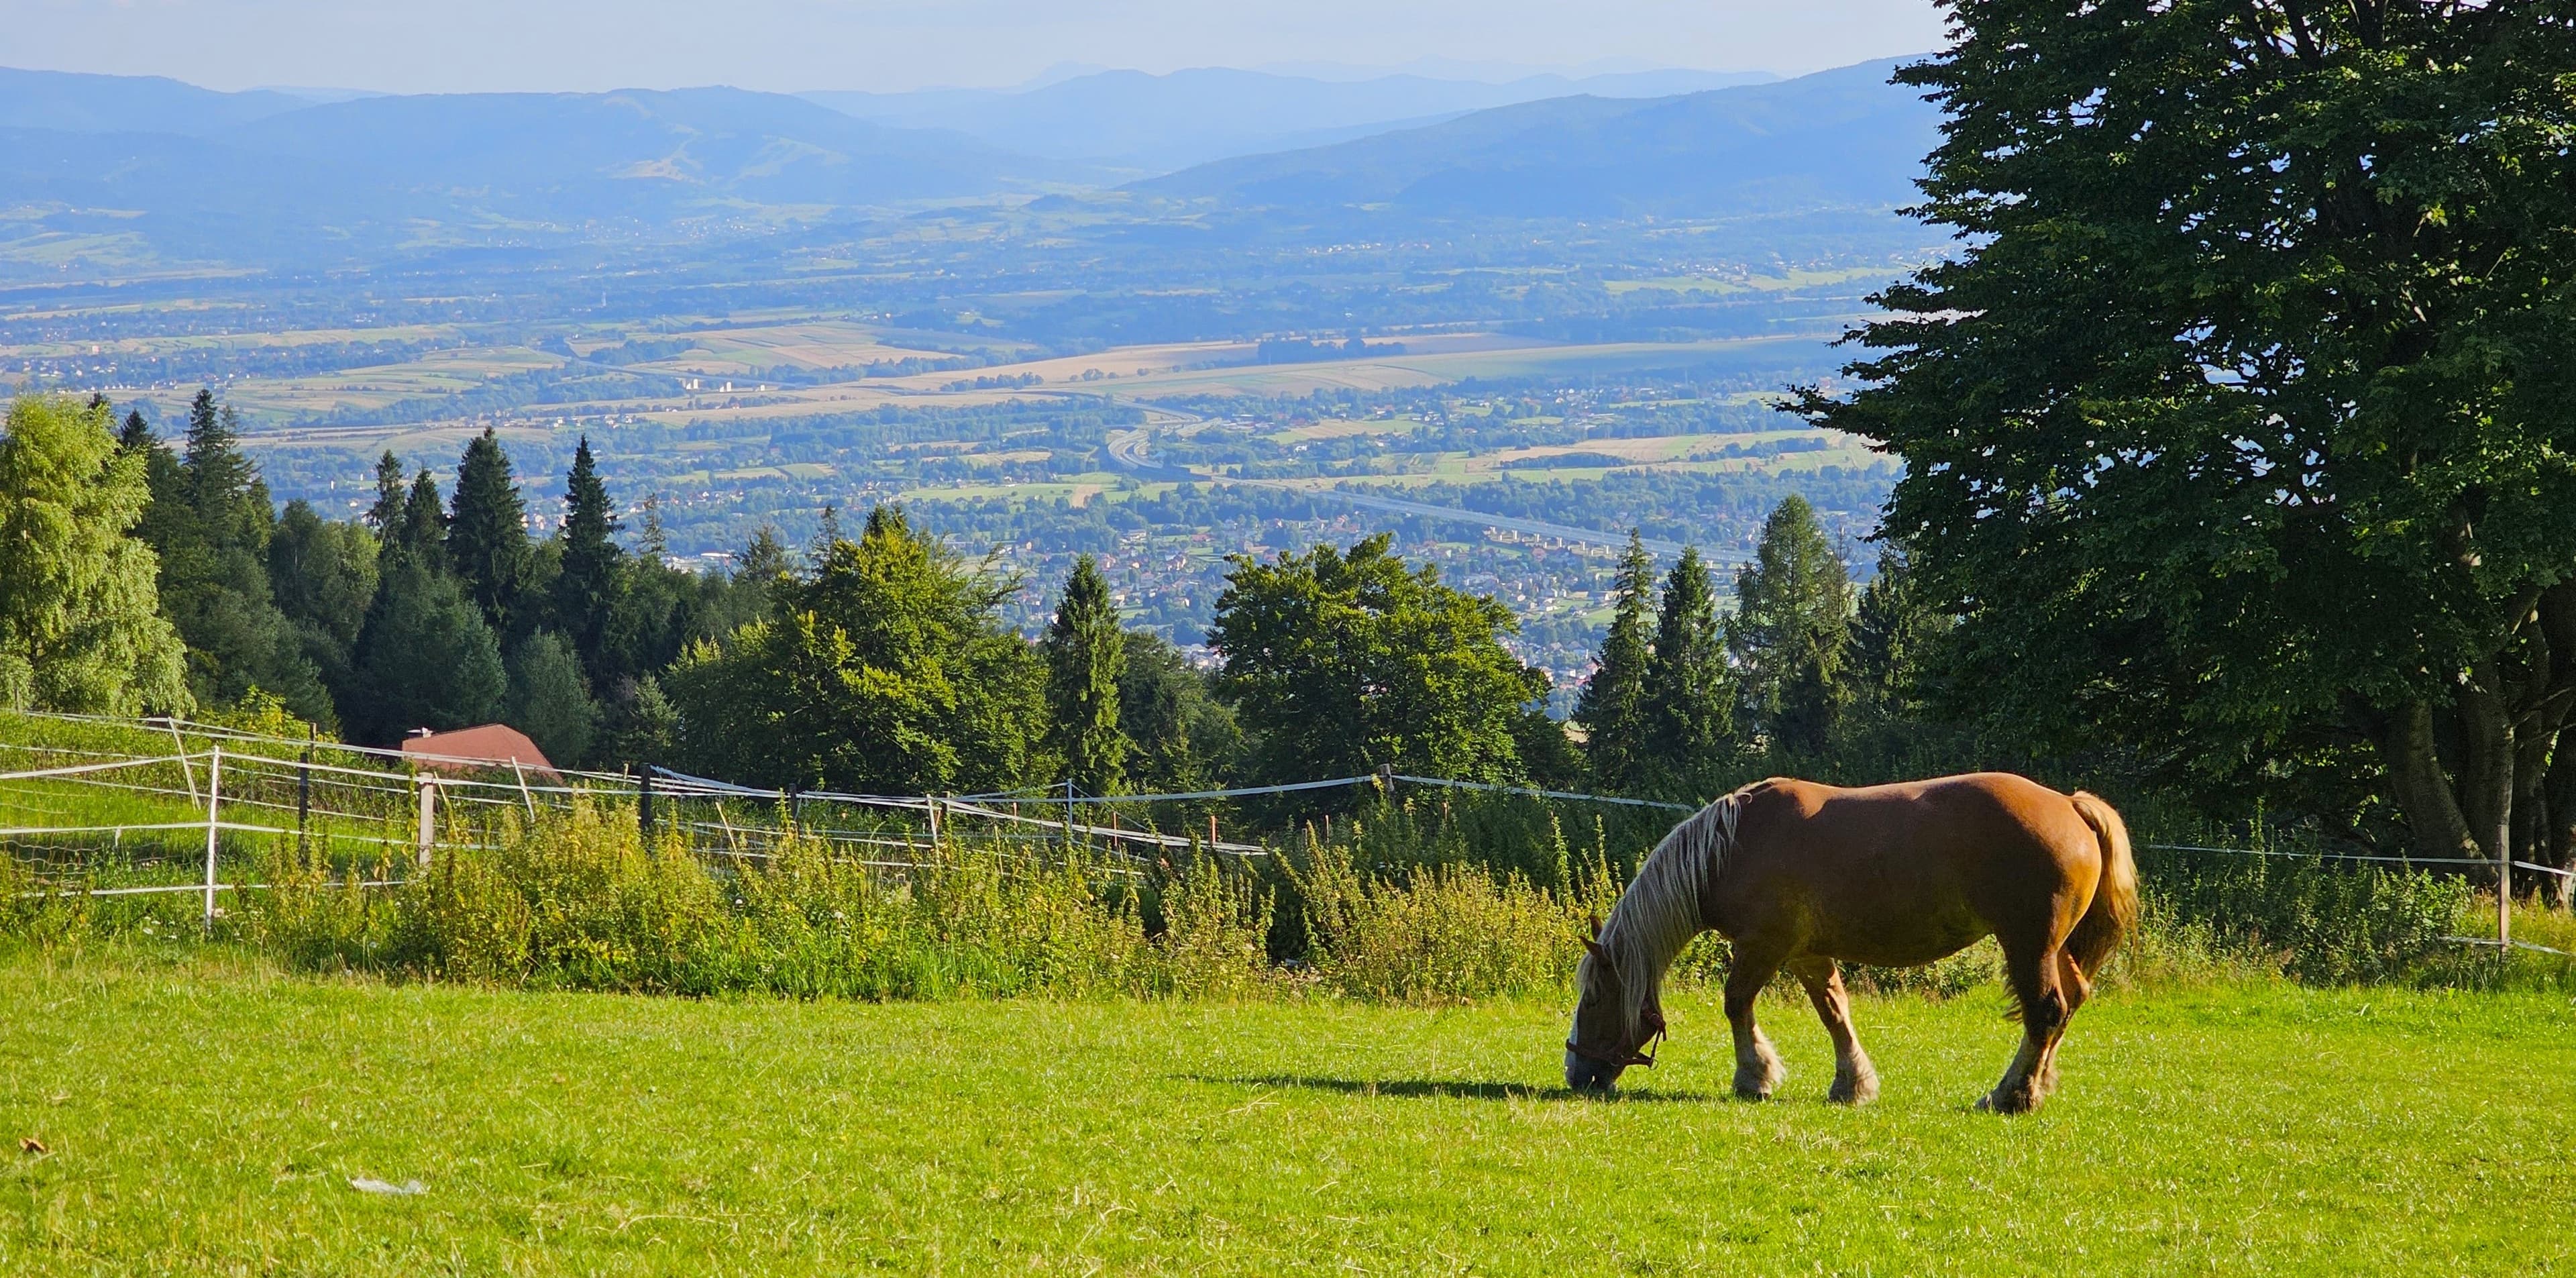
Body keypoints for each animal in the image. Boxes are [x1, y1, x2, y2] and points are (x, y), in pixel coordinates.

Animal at [1563, 772, 2136, 1114]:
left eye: (1592, 999)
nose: (1576, 1073)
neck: (1733, 845)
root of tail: (2071, 805)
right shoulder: (1806, 953)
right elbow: (1835, 1013)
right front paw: (1852, 1084)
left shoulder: (1764, 947)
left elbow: (1736, 1004)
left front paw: (1754, 1077)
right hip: (2053, 946)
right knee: (2071, 1002)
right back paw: (2037, 1083)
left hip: (2028, 944)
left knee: (2046, 1010)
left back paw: (2011, 1093)